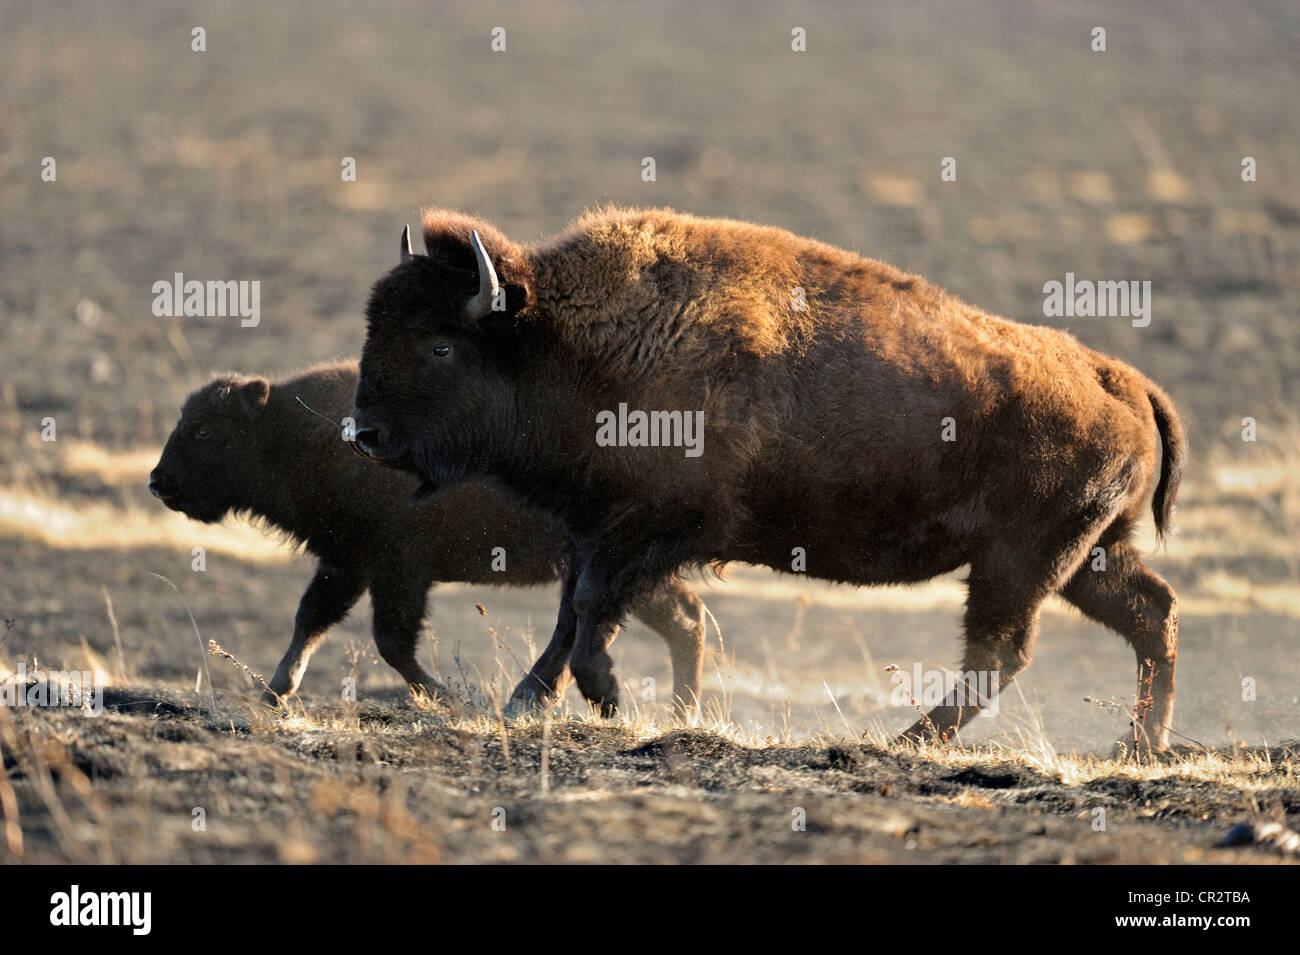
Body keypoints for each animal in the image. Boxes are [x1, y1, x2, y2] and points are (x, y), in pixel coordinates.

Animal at [149, 361, 712, 706]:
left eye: (205, 430)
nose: (158, 482)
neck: (293, 429)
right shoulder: (347, 564)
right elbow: (311, 619)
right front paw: (274, 695)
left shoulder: (397, 571)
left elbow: (390, 642)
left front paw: (451, 698)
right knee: (678, 617)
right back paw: (679, 711)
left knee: (617, 620)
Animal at [351, 209, 1185, 753]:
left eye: (439, 345)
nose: (365, 433)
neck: (563, 340)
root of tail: (1119, 379)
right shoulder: (593, 531)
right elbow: (571, 617)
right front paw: (529, 700)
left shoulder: (646, 534)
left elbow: (590, 617)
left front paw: (608, 699)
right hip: (1085, 557)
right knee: (1150, 613)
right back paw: (1137, 746)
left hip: (1021, 563)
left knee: (1000, 652)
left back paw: (907, 740)